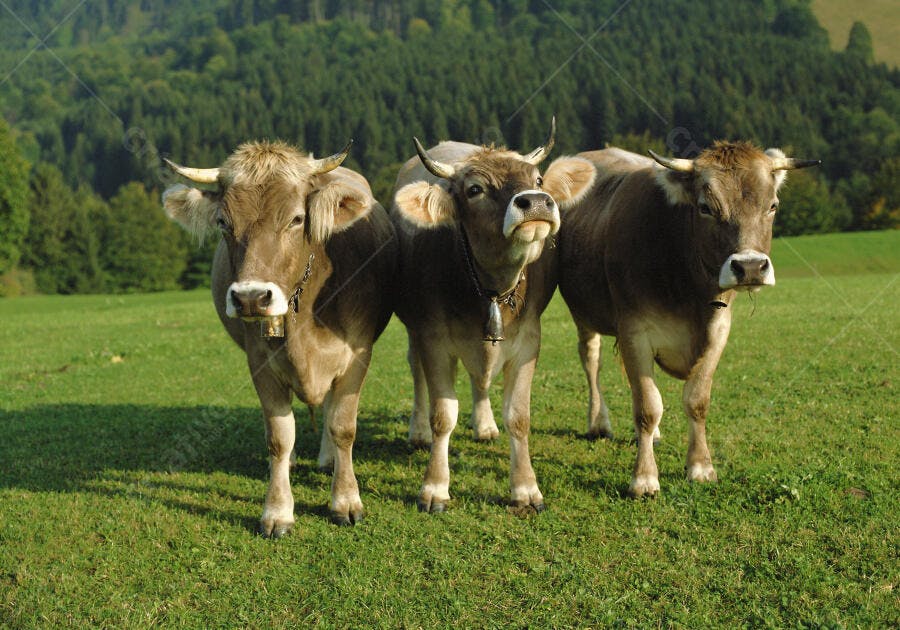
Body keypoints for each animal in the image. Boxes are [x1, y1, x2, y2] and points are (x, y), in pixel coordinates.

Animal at [162, 140, 397, 536]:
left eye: (297, 219)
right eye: (223, 222)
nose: (251, 297)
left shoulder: (357, 355)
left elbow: (342, 426)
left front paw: (346, 500)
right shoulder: (259, 363)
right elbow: (279, 437)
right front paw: (277, 510)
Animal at [390, 120, 597, 512]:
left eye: (538, 179)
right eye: (475, 189)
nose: (536, 202)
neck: (489, 289)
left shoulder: (528, 340)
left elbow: (519, 417)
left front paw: (526, 488)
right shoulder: (433, 338)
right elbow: (442, 416)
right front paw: (434, 487)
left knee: (480, 378)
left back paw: (484, 426)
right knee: (415, 371)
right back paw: (417, 431)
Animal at [557, 142, 819, 497]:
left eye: (773, 205)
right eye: (706, 207)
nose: (750, 267)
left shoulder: (719, 330)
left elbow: (696, 401)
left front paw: (701, 466)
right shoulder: (635, 331)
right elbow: (647, 406)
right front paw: (644, 478)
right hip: (585, 315)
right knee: (591, 361)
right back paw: (599, 422)